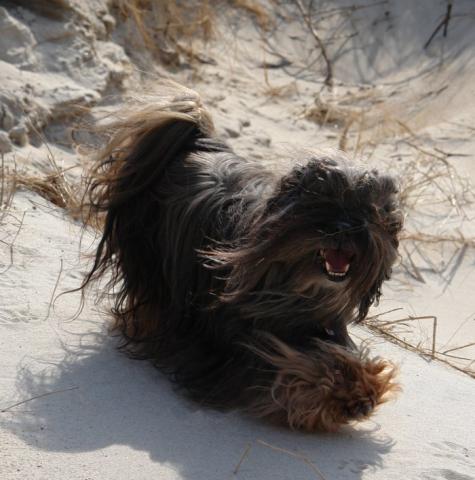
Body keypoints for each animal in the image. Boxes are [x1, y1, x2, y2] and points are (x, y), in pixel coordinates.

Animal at [82, 84, 402, 434]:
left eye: (368, 213)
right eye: (324, 203)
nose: (345, 228)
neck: (298, 287)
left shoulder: (322, 323)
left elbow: (332, 352)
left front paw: (360, 386)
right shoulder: (231, 339)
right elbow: (279, 364)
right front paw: (337, 395)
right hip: (151, 259)